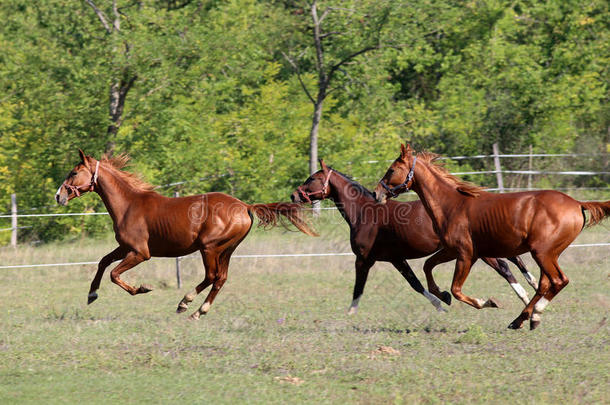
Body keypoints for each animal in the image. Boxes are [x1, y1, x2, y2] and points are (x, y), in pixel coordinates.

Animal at [55, 149, 318, 318]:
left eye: (73, 172)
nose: (59, 196)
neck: (129, 204)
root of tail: (245, 206)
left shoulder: (140, 253)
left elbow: (114, 273)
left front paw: (142, 289)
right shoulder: (124, 247)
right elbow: (102, 262)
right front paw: (92, 294)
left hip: (209, 248)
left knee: (212, 276)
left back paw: (185, 303)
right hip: (227, 250)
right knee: (220, 278)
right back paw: (198, 311)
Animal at [292, 159, 536, 314]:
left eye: (312, 178)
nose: (294, 195)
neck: (365, 213)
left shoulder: (363, 260)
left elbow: (358, 287)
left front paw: (350, 314)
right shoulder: (396, 259)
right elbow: (416, 284)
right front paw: (441, 303)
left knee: (504, 266)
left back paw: (523, 295)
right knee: (512, 261)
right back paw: (530, 287)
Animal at [372, 144, 604, 328]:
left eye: (391, 169)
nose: (377, 194)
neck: (452, 205)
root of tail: (577, 203)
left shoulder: (466, 255)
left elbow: (456, 289)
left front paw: (487, 302)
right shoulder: (451, 251)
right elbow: (428, 267)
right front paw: (442, 296)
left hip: (542, 253)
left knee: (558, 281)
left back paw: (532, 316)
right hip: (548, 255)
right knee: (544, 284)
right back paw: (521, 319)